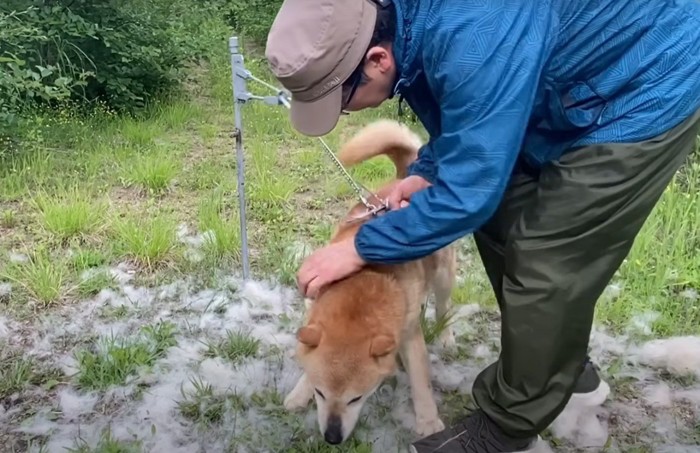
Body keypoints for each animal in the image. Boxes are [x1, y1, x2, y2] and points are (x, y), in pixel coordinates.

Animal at [284, 118, 460, 444]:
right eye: (320, 393)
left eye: (356, 398)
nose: (332, 437)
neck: (363, 279)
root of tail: (404, 177)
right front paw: (299, 392)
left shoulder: (409, 337)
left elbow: (421, 384)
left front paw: (428, 421)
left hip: (444, 276)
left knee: (444, 307)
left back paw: (446, 337)